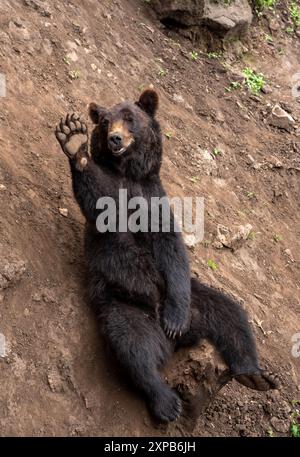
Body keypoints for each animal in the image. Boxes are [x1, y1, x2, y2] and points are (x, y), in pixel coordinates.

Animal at [55, 88, 280, 420]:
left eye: (130, 118)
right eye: (106, 122)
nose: (115, 138)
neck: (129, 174)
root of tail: (180, 341)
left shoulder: (155, 200)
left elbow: (171, 249)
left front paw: (174, 319)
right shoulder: (115, 203)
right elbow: (101, 204)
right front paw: (73, 139)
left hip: (195, 299)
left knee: (232, 317)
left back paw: (256, 374)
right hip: (122, 302)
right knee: (134, 345)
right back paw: (165, 400)